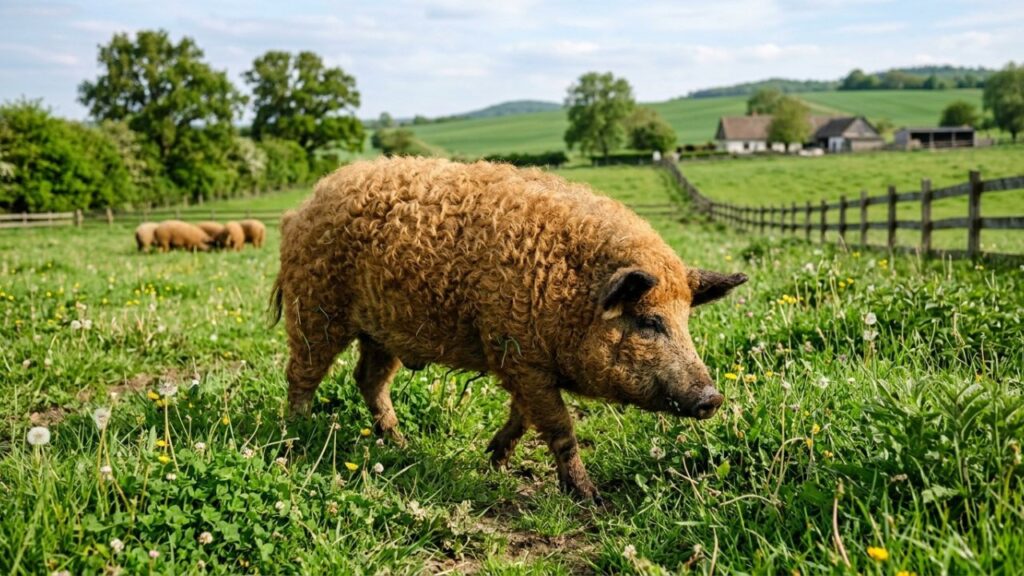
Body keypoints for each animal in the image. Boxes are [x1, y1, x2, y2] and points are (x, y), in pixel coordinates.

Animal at [270, 157, 747, 501]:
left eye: (686, 321)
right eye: (648, 321)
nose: (712, 397)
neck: (571, 294)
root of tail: (300, 209)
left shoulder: (520, 362)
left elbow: (523, 415)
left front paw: (494, 460)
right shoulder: (521, 354)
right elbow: (559, 426)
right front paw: (591, 499)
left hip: (380, 332)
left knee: (367, 379)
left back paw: (399, 443)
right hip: (314, 308)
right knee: (302, 374)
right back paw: (298, 433)